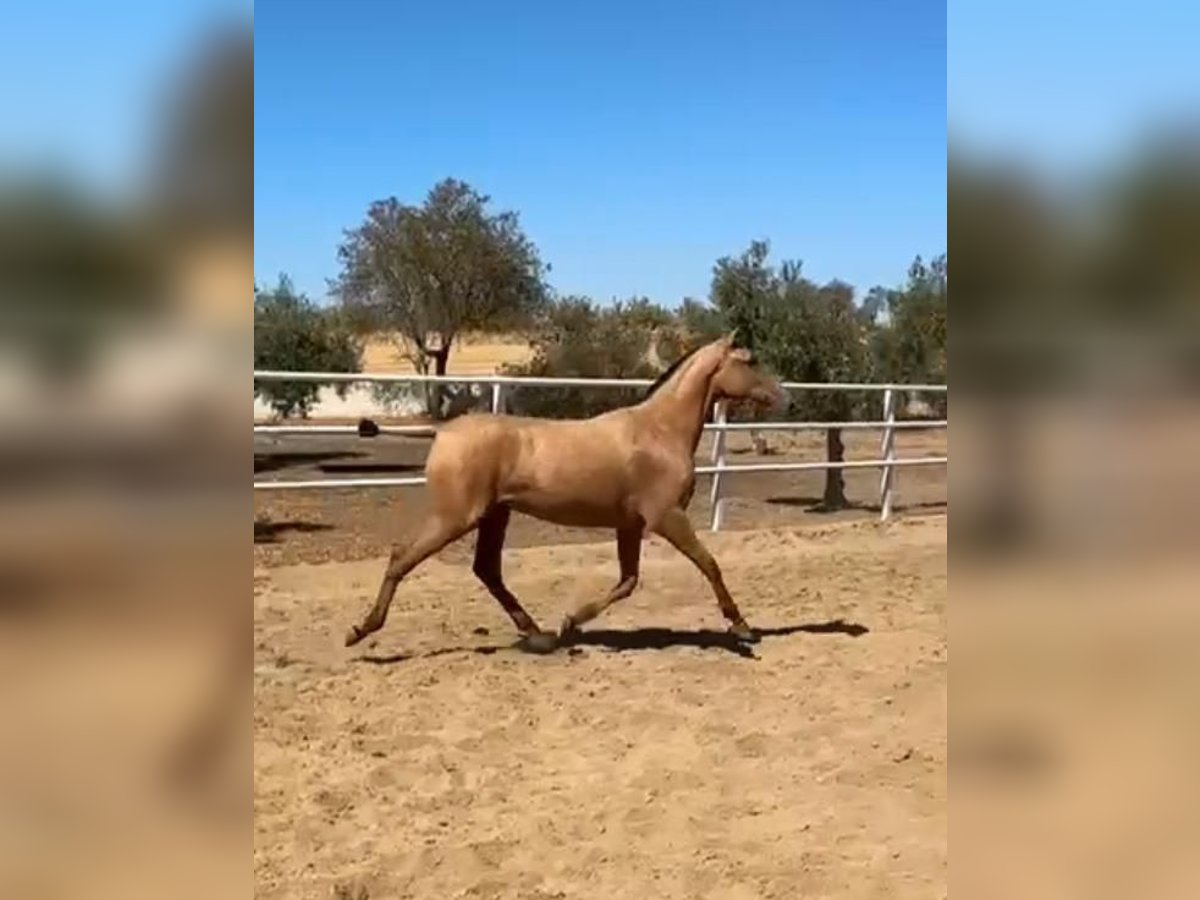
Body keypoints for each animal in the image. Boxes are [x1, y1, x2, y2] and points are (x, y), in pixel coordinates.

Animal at [343, 336, 782, 657]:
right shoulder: (667, 517)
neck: (659, 432)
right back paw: (360, 630)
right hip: (456, 517)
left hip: (494, 515)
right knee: (402, 558)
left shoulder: (629, 525)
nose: (784, 396)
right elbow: (709, 565)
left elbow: (628, 581)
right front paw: (743, 629)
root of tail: (444, 432)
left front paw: (570, 622)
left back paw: (539, 635)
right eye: (751, 361)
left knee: (487, 570)